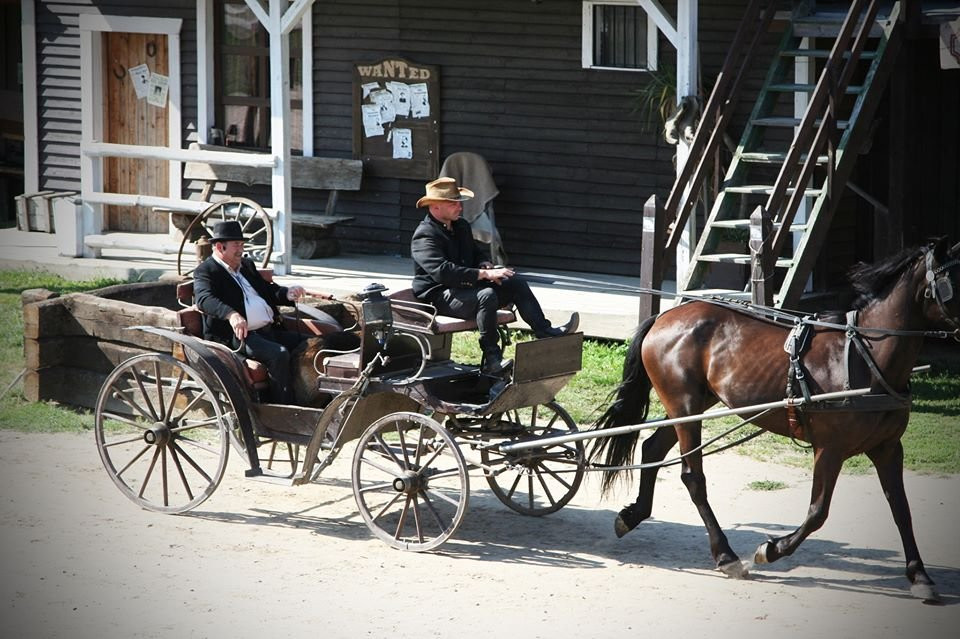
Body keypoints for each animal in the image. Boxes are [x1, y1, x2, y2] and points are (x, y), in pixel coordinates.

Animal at [588, 238, 956, 604]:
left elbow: (901, 510)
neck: (863, 357)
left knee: (652, 448)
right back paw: (726, 555)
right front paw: (772, 549)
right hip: (684, 405)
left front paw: (920, 576)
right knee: (693, 476)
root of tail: (664, 316)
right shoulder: (830, 448)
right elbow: (818, 512)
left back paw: (633, 515)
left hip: (693, 404)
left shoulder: (888, 447)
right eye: (955, 280)